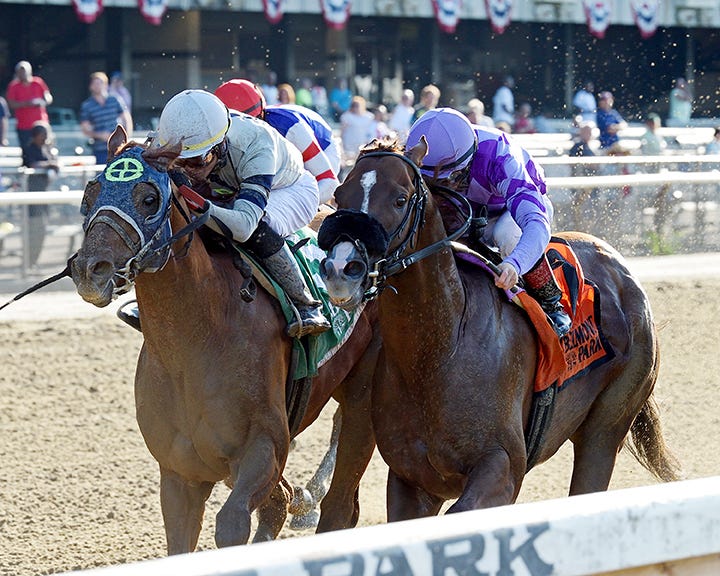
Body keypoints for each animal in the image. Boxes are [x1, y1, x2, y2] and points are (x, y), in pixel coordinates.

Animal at [70, 126, 380, 553]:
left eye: (149, 199)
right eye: (90, 192)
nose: (90, 269)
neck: (193, 346)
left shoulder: (264, 448)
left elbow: (232, 523)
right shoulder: (180, 474)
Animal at [318, 138, 680, 521]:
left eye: (400, 199)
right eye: (339, 194)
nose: (341, 268)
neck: (439, 351)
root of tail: (621, 268)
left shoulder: (502, 467)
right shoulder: (412, 480)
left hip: (607, 424)